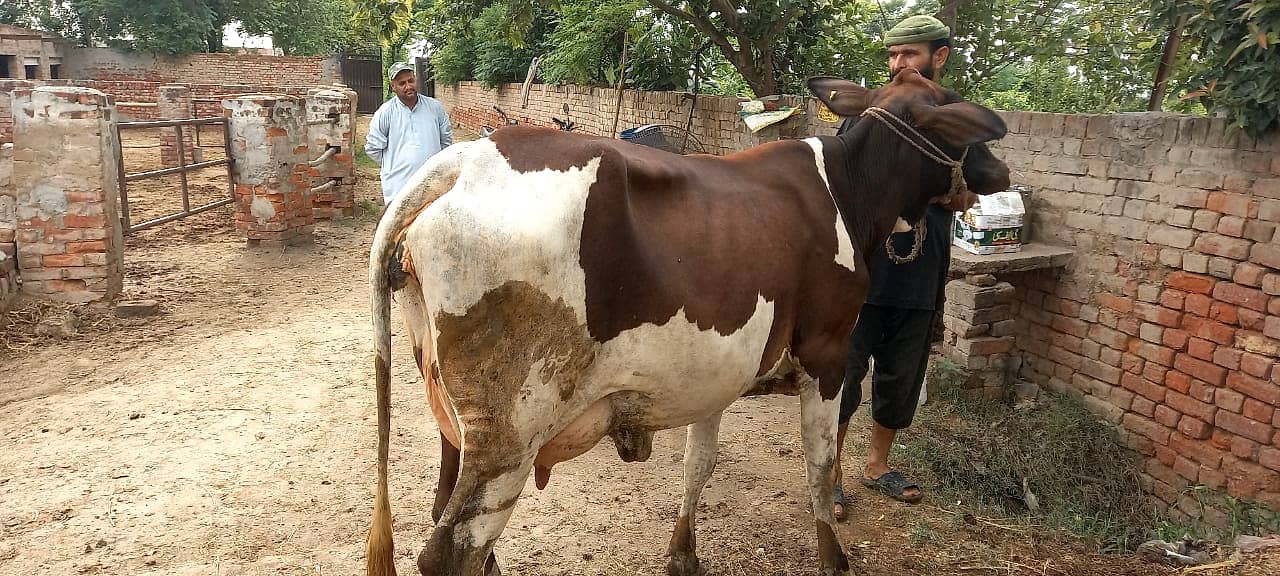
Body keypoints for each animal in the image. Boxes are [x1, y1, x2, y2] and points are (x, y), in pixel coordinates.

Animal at [363, 69, 1008, 573]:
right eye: (957, 114)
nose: (999, 170)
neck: (847, 193)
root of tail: (464, 161)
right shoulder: (829, 354)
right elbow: (821, 468)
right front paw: (833, 557)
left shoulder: (717, 373)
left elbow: (698, 464)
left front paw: (683, 553)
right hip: (512, 432)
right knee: (452, 550)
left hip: (454, 417)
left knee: (446, 513)